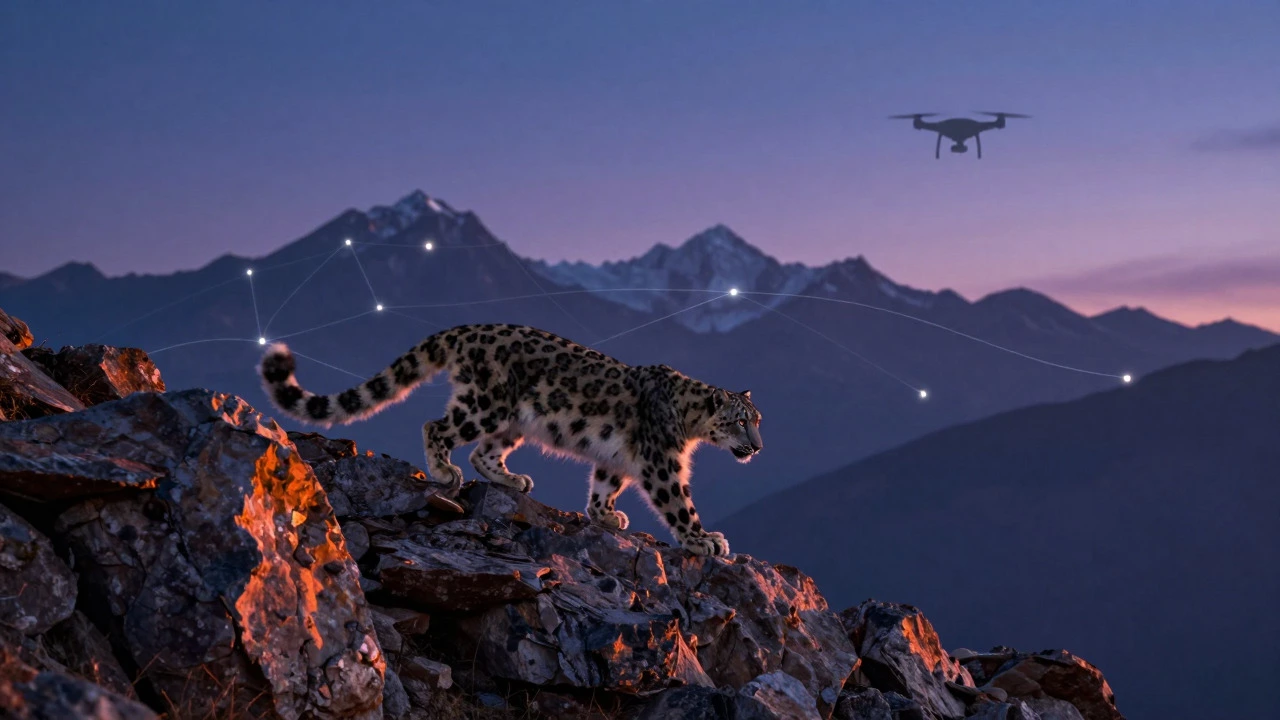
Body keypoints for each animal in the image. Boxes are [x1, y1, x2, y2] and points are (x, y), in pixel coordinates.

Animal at [257, 323, 762, 557]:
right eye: (740, 421)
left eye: (759, 420)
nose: (757, 447)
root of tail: (466, 330)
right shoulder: (662, 463)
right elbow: (679, 503)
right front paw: (705, 540)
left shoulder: (616, 456)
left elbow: (604, 484)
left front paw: (605, 515)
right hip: (486, 405)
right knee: (437, 427)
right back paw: (444, 471)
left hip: (512, 421)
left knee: (485, 452)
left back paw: (512, 480)